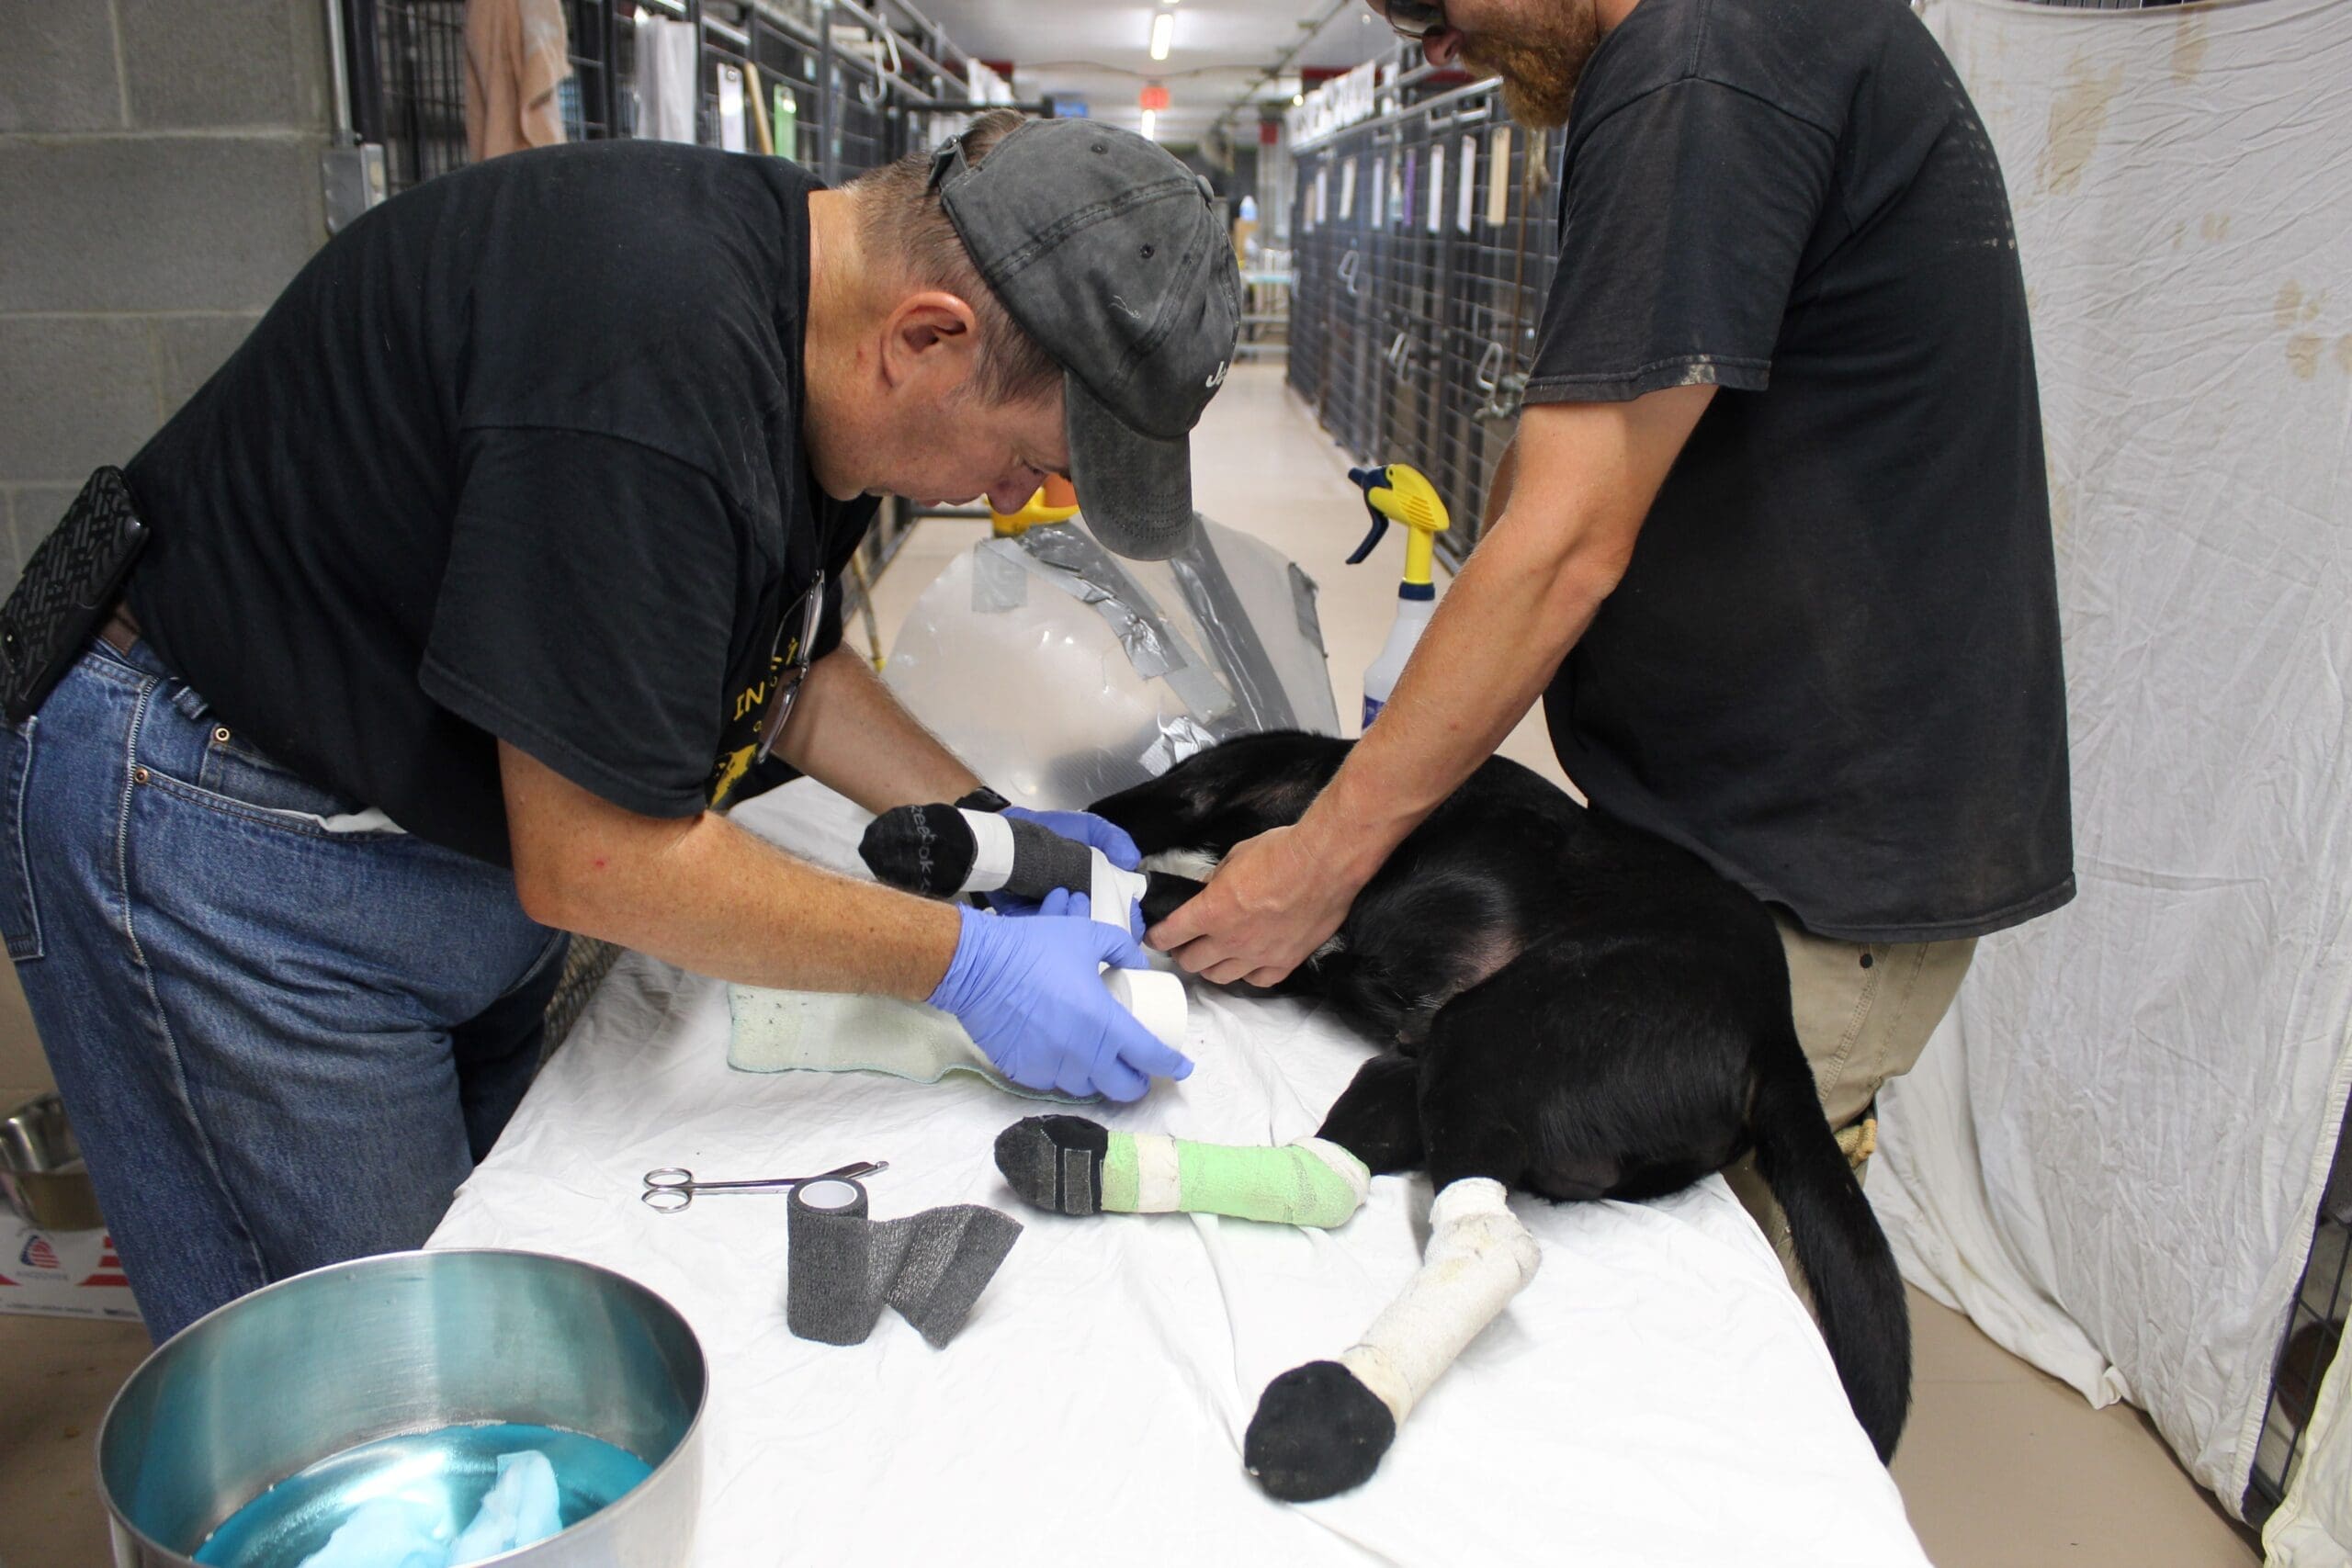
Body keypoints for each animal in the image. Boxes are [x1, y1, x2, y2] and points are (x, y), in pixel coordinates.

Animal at [1081, 738, 1909, 1495]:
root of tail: (1776, 1029)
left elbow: (1126, 869)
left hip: (1495, 1028)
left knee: (1480, 1237)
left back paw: (1334, 1418)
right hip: (1432, 1067)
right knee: (1343, 1160)